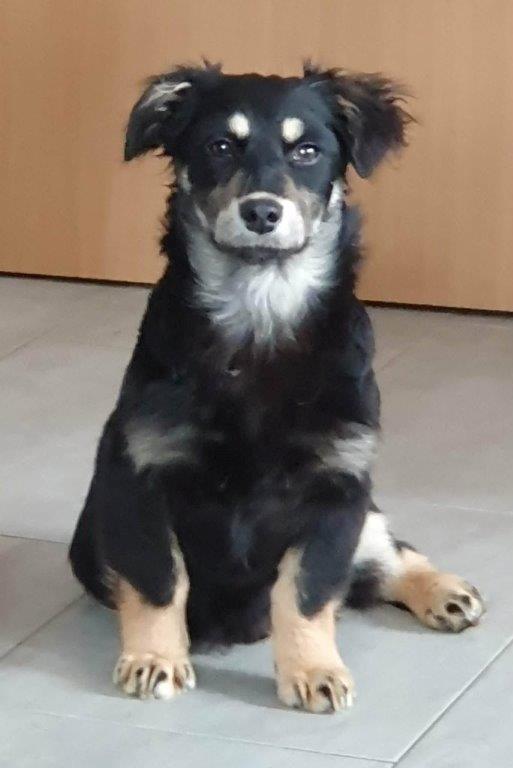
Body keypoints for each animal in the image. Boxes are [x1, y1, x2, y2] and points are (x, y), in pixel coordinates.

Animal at [69, 62, 484, 713]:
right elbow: (160, 579)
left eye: (308, 151)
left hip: (361, 506)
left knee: (384, 549)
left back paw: (441, 588)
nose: (262, 212)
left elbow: (307, 593)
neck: (259, 314)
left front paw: (313, 669)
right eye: (219, 146)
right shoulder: (139, 474)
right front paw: (155, 658)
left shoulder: (337, 485)